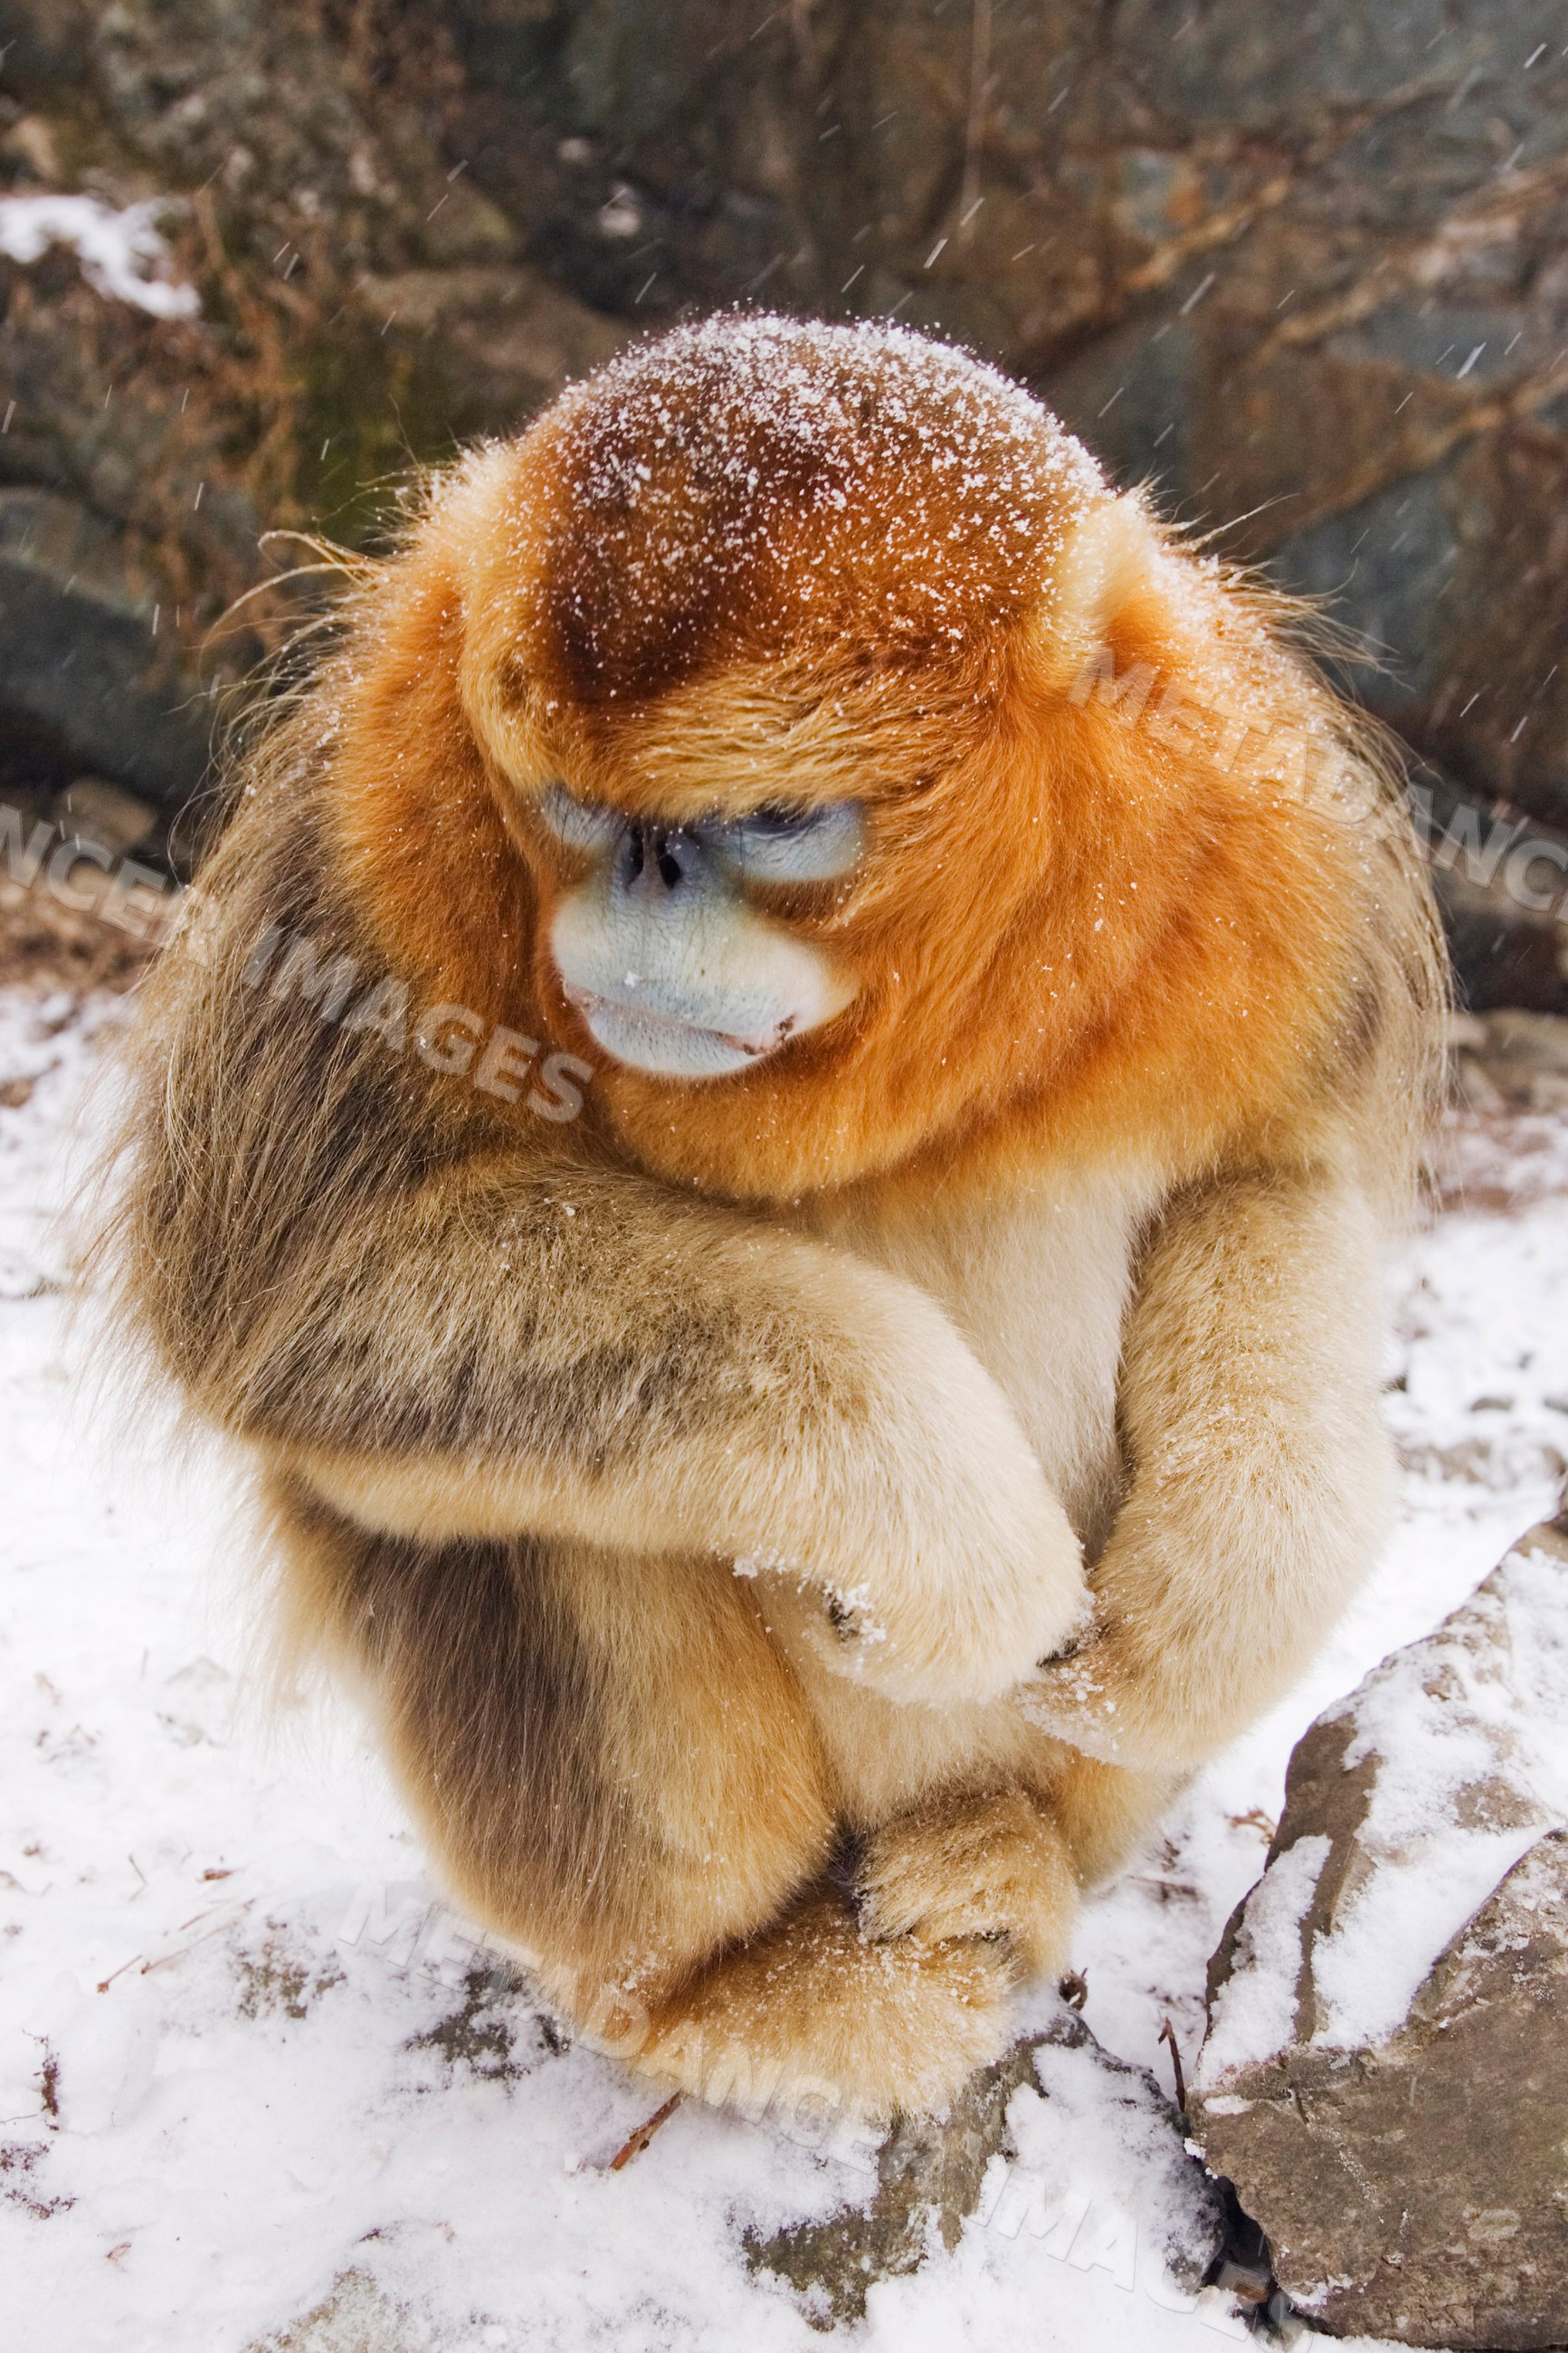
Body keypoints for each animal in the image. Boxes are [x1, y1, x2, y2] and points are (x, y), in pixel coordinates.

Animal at [108, 314, 1445, 2127]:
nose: (643, 889)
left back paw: (1006, 1864)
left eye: (773, 825)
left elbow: (1270, 1175)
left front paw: (1211, 1609)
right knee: (530, 1520)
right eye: (572, 809)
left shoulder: (1259, 821)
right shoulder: (372, 811)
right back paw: (730, 1987)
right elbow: (286, 1291)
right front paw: (947, 1536)